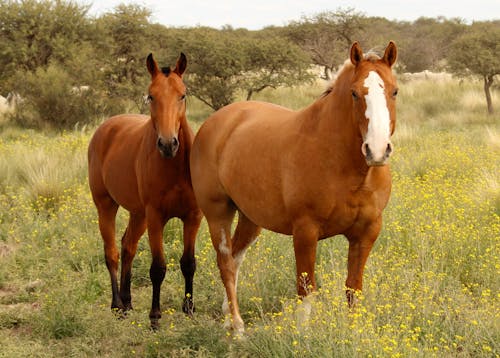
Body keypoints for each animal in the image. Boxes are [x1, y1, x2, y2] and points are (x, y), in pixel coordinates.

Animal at [88, 53, 201, 330]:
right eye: (151, 96)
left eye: (183, 95)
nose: (168, 144)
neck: (174, 167)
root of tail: (106, 127)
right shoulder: (156, 218)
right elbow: (158, 268)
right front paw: (155, 316)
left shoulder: (193, 217)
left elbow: (188, 263)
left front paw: (189, 310)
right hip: (106, 206)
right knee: (112, 253)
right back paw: (117, 305)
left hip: (138, 214)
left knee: (128, 246)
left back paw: (128, 303)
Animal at [190, 41, 398, 332]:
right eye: (355, 93)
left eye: (394, 91)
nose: (377, 150)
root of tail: (217, 121)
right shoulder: (305, 232)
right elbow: (306, 288)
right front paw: (304, 334)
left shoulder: (366, 232)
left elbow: (353, 288)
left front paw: (353, 332)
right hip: (217, 213)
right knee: (225, 262)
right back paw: (238, 326)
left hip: (251, 219)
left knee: (236, 256)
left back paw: (227, 316)